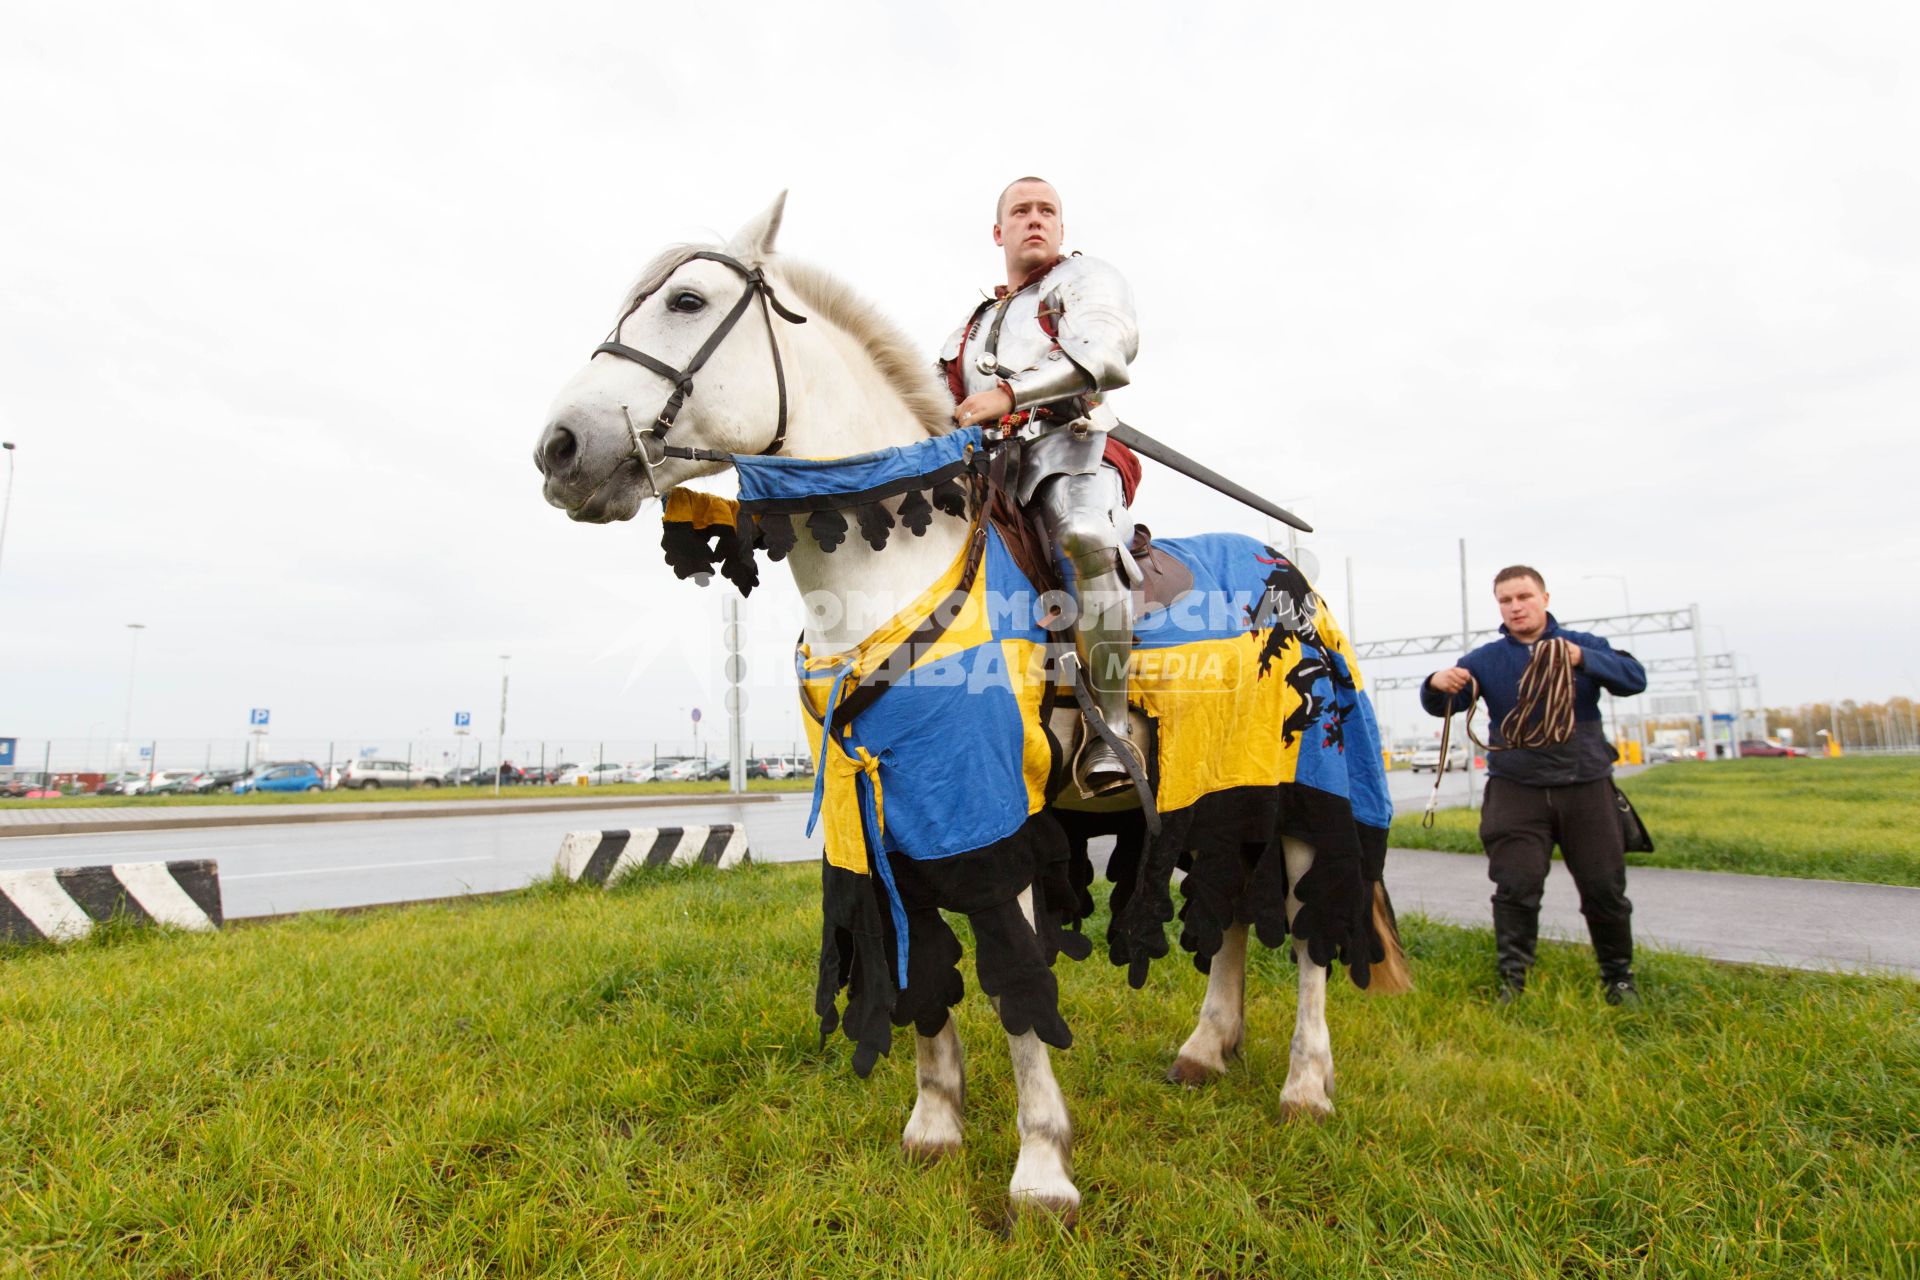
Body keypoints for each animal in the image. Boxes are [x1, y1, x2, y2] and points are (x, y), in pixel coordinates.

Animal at [533, 195, 1405, 1228]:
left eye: (687, 300)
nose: (560, 450)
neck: (891, 568)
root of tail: (1288, 576)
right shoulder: (883, 813)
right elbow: (919, 972)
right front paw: (934, 1126)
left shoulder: (987, 819)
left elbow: (1013, 981)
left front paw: (1041, 1168)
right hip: (1212, 787)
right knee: (1229, 908)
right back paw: (1204, 1049)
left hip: (1311, 785)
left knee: (1311, 937)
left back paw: (1306, 1085)